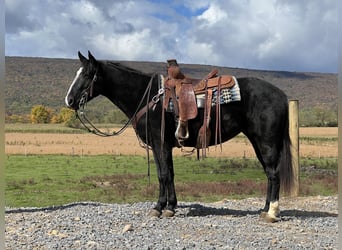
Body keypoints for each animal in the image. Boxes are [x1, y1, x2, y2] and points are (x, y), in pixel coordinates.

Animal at [65, 50, 294, 223]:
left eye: (87, 74)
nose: (69, 100)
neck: (147, 97)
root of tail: (281, 95)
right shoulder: (160, 145)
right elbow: (167, 174)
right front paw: (166, 206)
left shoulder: (160, 143)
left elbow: (164, 174)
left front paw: (162, 208)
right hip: (257, 141)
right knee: (268, 173)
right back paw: (264, 209)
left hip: (267, 141)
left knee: (273, 172)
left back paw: (272, 213)